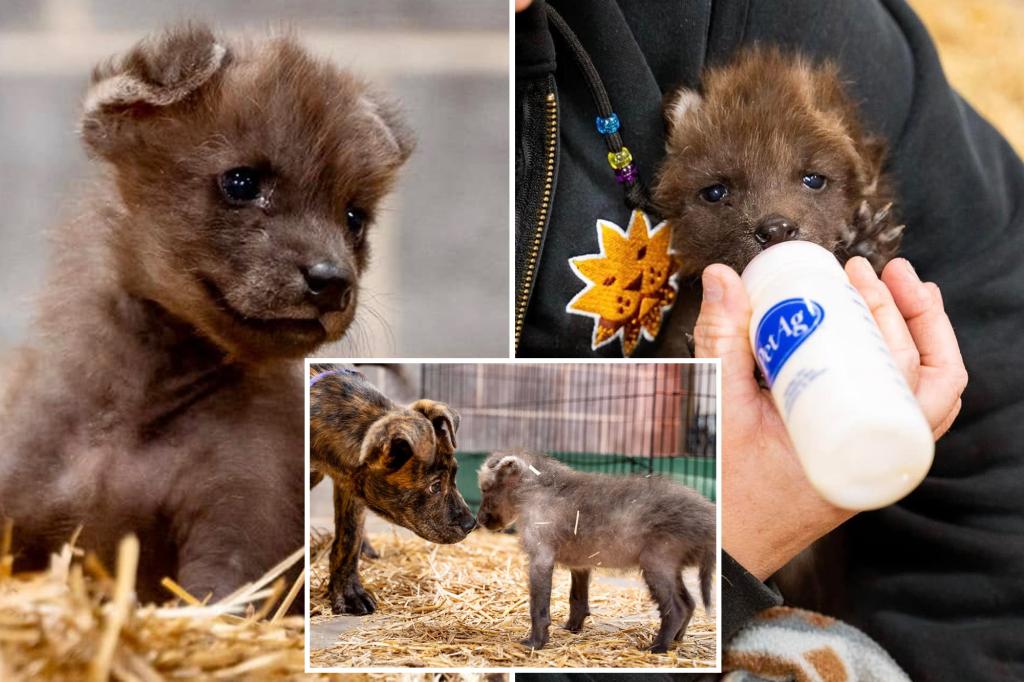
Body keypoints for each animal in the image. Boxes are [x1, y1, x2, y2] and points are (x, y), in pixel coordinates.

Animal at [307, 364, 475, 614]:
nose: (471, 524)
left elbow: (349, 539)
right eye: (435, 486)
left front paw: (348, 593)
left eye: (455, 474)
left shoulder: (350, 484)